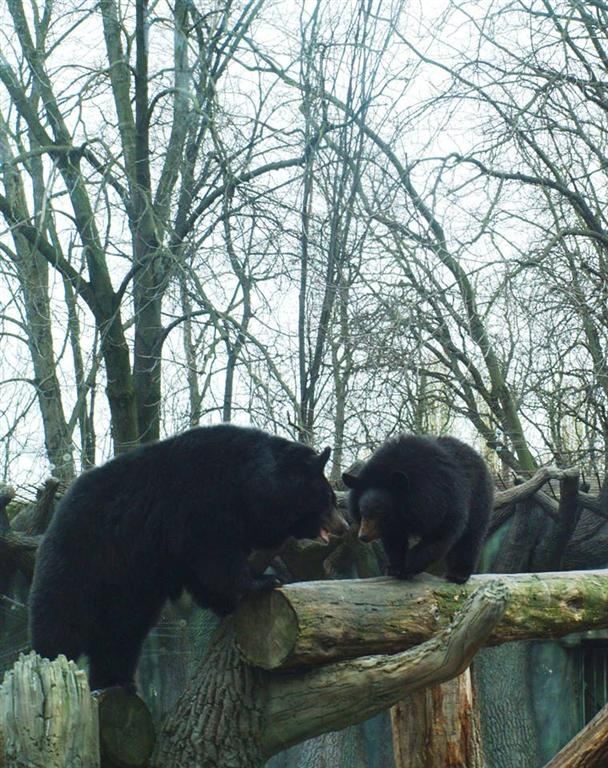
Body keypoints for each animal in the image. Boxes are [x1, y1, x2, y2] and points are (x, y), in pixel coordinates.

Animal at [29, 426, 346, 688]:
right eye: (329, 498)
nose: (343, 526)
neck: (247, 486)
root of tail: (56, 515)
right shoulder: (200, 506)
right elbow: (216, 558)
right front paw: (263, 580)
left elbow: (204, 576)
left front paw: (229, 601)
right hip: (85, 558)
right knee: (60, 618)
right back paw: (51, 659)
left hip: (128, 587)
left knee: (122, 632)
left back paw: (116, 681)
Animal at [342, 432, 494, 584]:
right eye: (362, 512)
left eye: (379, 513)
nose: (363, 536)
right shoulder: (394, 524)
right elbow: (394, 541)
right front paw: (395, 568)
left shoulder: (443, 499)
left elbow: (440, 534)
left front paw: (408, 567)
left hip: (478, 497)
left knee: (471, 535)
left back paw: (458, 574)